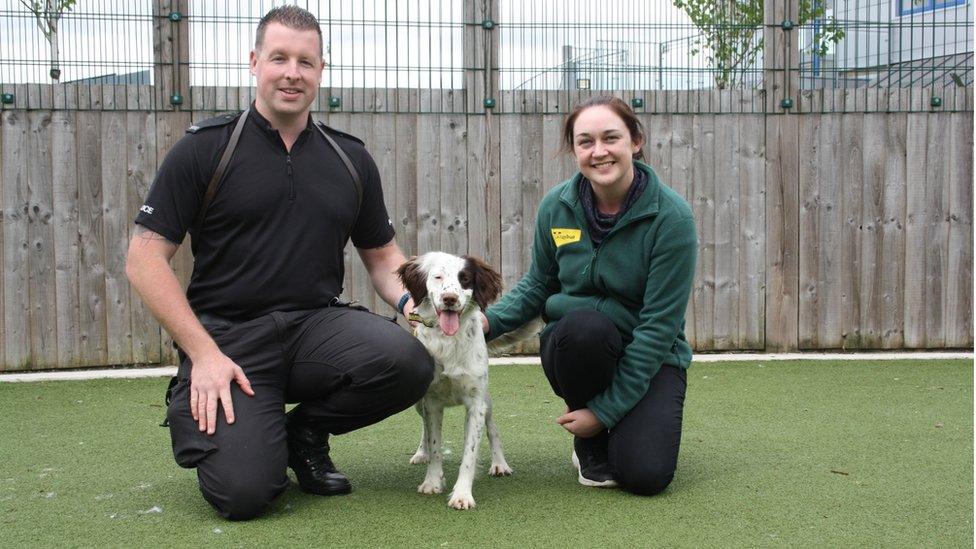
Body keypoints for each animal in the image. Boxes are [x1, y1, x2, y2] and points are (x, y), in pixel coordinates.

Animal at [396, 253, 516, 510]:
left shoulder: (476, 404)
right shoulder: (431, 402)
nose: (449, 298)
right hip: (418, 403)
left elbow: (469, 454)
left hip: (487, 401)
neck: (448, 341)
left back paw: (499, 464)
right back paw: (420, 453)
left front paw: (462, 494)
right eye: (438, 277)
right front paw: (432, 481)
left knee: (493, 429)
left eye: (465, 278)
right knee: (423, 429)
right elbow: (434, 445)